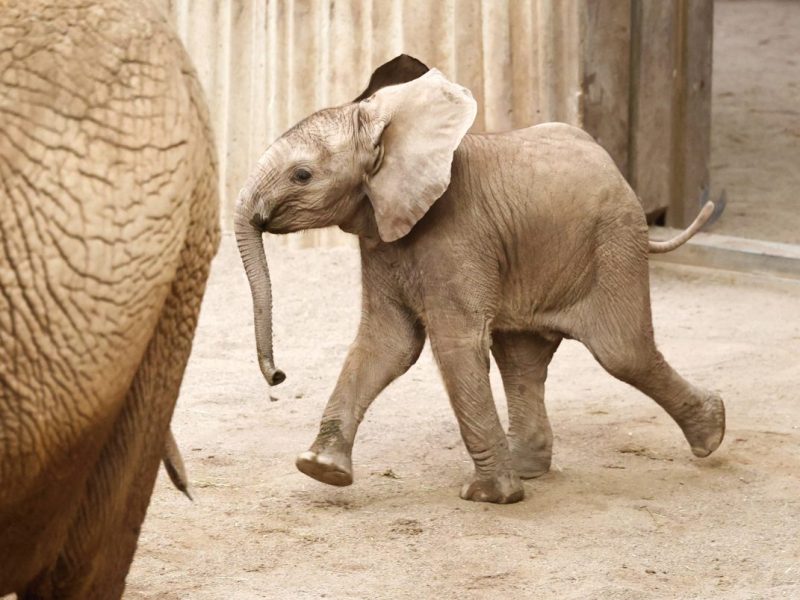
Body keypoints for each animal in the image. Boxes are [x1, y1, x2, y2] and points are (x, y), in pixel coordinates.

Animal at [236, 55, 724, 502]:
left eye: (302, 175)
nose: (278, 377)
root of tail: (617, 171)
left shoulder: (457, 234)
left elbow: (454, 344)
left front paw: (491, 497)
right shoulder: (382, 234)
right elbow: (386, 342)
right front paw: (320, 469)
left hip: (613, 242)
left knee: (622, 351)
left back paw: (712, 435)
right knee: (522, 360)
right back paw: (528, 467)